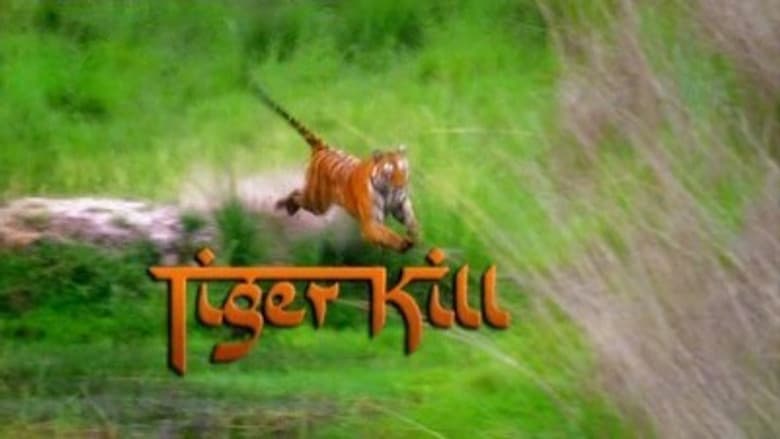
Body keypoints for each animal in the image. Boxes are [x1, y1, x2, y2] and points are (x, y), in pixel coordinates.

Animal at [252, 86, 420, 253]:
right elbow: (386, 235)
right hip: (317, 202)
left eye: (403, 170)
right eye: (389, 172)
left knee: (298, 192)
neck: (388, 193)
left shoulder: (401, 205)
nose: (400, 185)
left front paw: (414, 235)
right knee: (298, 194)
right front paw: (402, 243)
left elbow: (411, 220)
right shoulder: (371, 223)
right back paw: (286, 206)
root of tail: (324, 148)